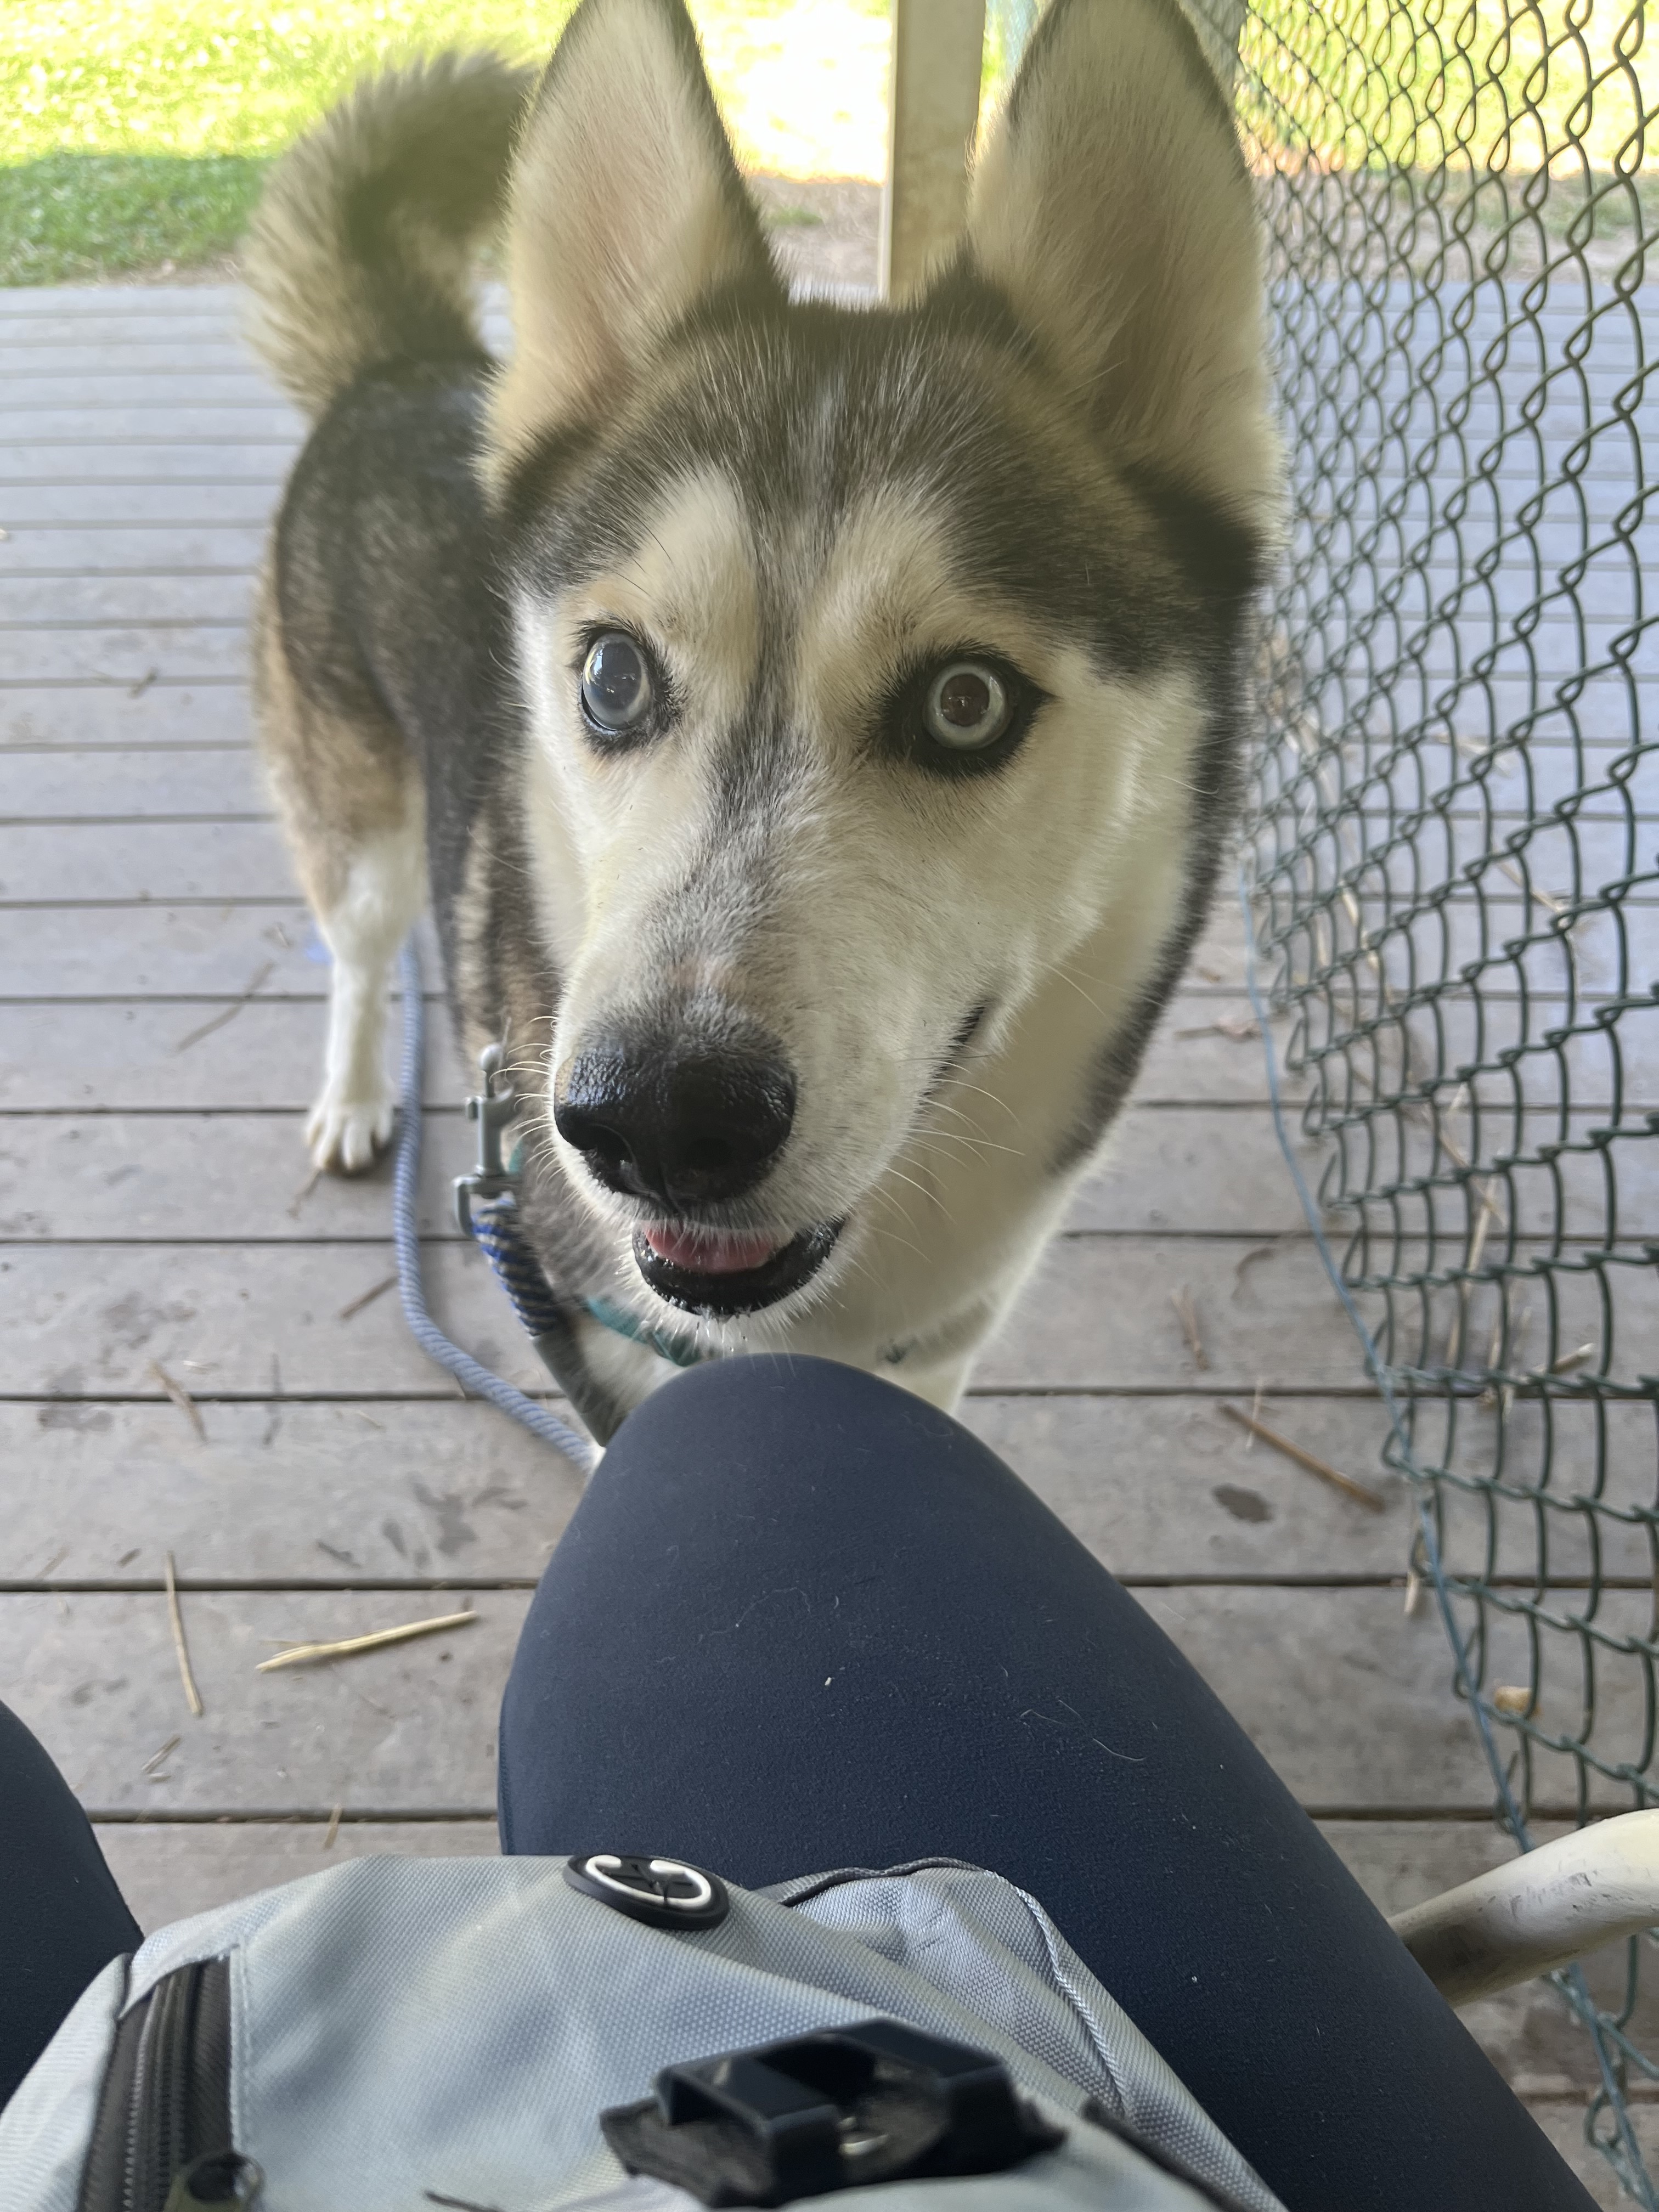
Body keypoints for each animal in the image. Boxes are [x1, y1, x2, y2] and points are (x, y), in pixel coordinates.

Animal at [243, 0, 1280, 1441]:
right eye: (614, 677)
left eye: (967, 704)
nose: (659, 1123)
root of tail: (408, 365)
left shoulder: (941, 1356)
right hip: (358, 821)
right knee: (355, 953)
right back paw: (351, 1098)